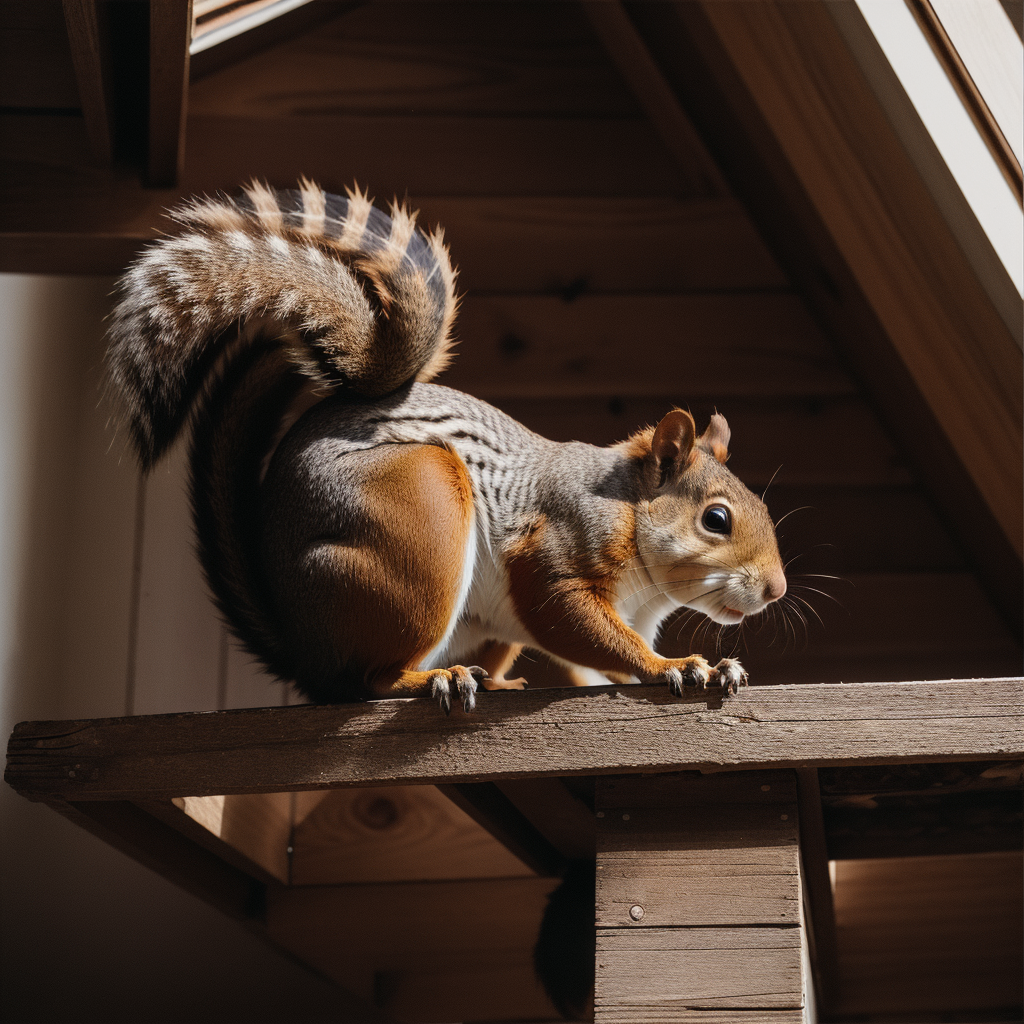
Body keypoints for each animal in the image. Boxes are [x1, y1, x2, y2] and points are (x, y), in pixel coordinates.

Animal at [105, 180, 787, 713]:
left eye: (761, 506)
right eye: (716, 519)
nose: (776, 590)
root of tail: (302, 651)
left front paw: (711, 666)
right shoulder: (561, 545)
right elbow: (570, 615)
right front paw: (672, 665)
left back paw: (499, 683)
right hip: (415, 522)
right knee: (363, 683)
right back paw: (434, 678)